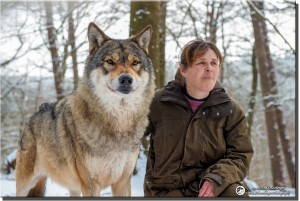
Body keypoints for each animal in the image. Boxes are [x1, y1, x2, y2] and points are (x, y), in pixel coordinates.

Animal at [14, 22, 155, 196]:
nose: (126, 79)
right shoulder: (90, 185)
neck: (119, 121)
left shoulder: (122, 182)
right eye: (110, 61)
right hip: (25, 185)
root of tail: (34, 114)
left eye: (135, 63)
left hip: (73, 187)